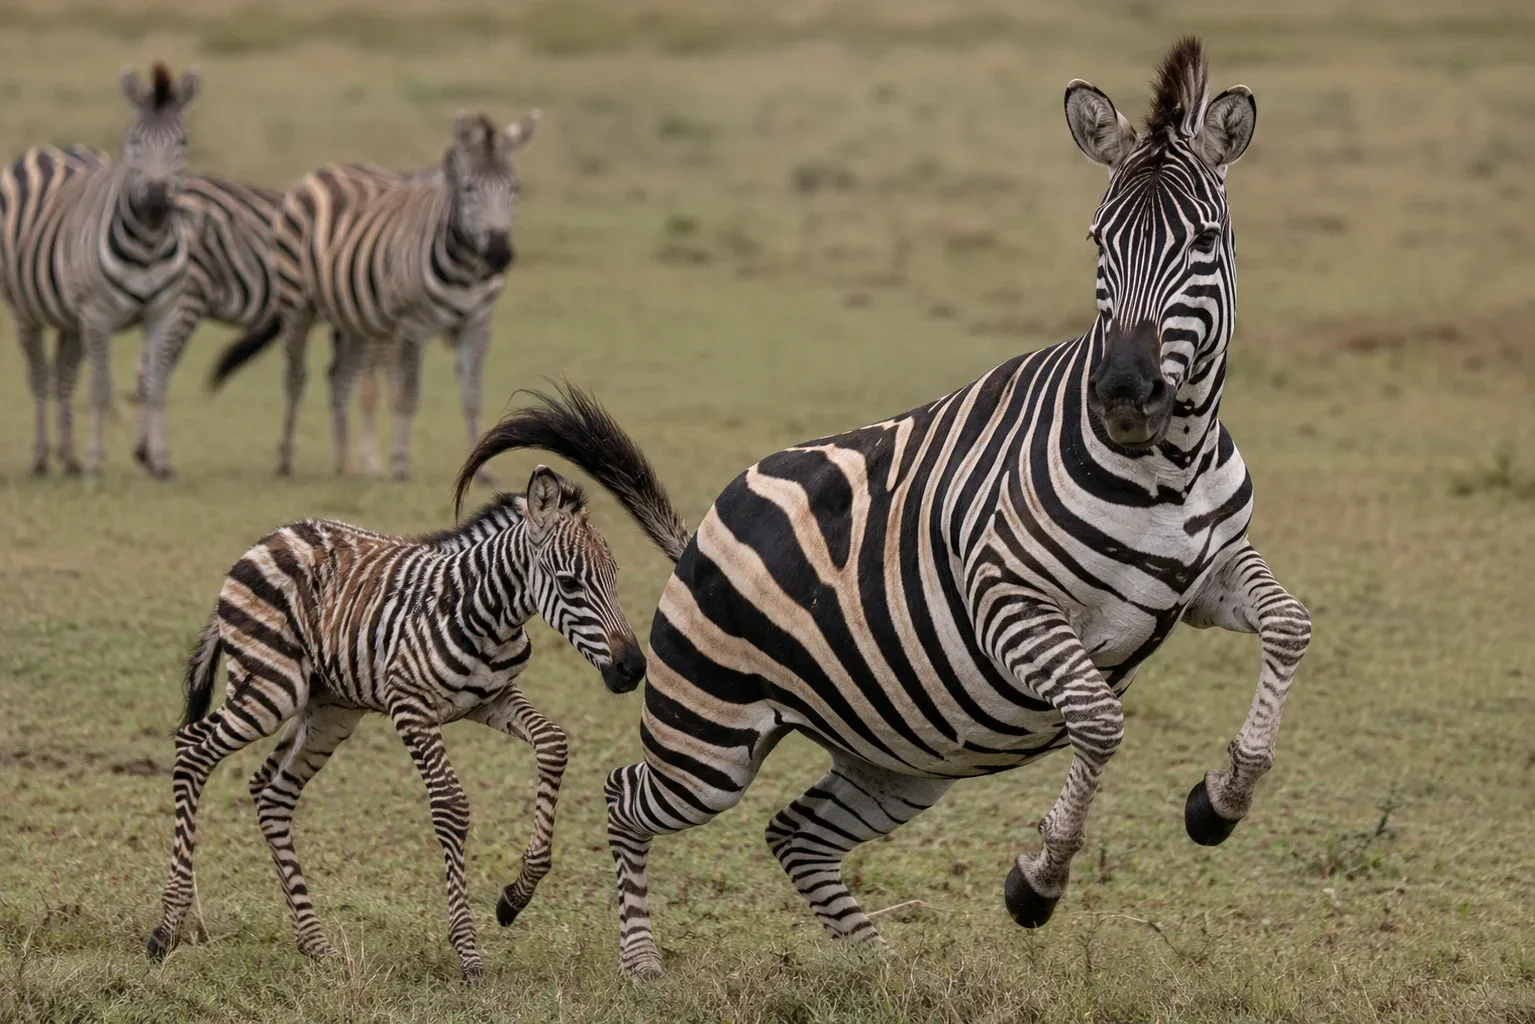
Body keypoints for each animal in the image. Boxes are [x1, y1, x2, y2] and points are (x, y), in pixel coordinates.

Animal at [0, 63, 198, 476]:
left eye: (182, 142)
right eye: (134, 141)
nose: (156, 204)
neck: (148, 244)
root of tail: (51, 148)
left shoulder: (163, 313)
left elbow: (155, 387)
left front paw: (160, 462)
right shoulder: (98, 314)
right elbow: (101, 391)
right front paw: (96, 462)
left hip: (70, 319)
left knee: (63, 376)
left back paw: (68, 457)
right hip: (26, 310)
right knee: (39, 377)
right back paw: (42, 458)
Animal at [145, 448, 652, 983]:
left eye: (615, 578)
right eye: (570, 583)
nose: (632, 669)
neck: (486, 613)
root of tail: (270, 538)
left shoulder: (490, 700)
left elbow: (554, 742)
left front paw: (516, 896)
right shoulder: (410, 707)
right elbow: (451, 805)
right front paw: (469, 954)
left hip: (328, 710)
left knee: (271, 791)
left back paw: (316, 944)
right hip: (271, 687)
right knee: (192, 750)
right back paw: (167, 927)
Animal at [206, 111, 540, 481]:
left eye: (515, 188)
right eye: (469, 189)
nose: (499, 254)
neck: (466, 269)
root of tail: (325, 170)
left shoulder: (477, 325)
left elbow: (471, 397)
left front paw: (482, 468)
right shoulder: (413, 326)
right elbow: (408, 395)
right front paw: (401, 464)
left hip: (355, 316)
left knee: (339, 377)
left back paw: (343, 463)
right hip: (297, 303)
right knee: (296, 377)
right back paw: (286, 459)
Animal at [461, 38, 1311, 980]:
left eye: (1203, 240)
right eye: (1098, 240)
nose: (1123, 394)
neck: (1167, 465)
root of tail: (696, 537)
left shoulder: (1207, 575)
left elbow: (1288, 624)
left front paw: (1222, 798)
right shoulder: (1007, 602)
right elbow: (1097, 718)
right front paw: (1039, 880)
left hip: (904, 757)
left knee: (794, 833)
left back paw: (888, 971)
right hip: (708, 737)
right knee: (625, 798)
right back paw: (632, 959)